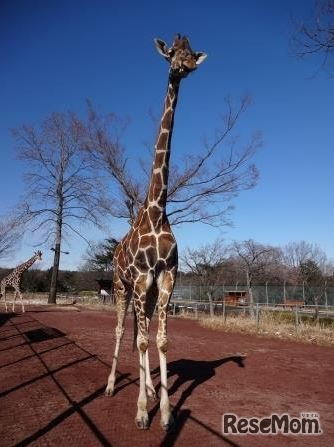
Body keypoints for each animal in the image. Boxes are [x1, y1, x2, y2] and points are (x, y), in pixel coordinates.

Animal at [105, 35, 207, 430]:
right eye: (172, 54)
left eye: (190, 53)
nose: (185, 67)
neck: (157, 210)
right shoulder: (141, 277)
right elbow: (144, 340)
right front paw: (140, 413)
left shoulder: (166, 276)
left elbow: (160, 340)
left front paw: (163, 413)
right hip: (122, 286)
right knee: (123, 330)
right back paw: (111, 386)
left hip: (142, 292)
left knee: (139, 330)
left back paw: (148, 389)